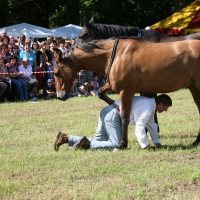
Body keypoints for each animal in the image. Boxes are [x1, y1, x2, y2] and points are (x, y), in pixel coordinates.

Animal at [52, 37, 200, 150]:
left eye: (56, 73)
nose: (60, 96)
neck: (117, 55)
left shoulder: (126, 91)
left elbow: (124, 117)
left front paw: (122, 144)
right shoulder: (114, 86)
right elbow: (100, 93)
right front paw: (113, 105)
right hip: (194, 87)